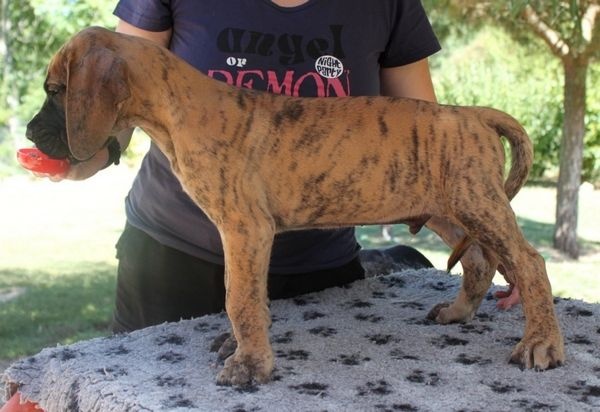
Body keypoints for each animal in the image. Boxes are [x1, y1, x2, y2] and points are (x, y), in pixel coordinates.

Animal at [26, 27, 565, 386]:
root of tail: (475, 114)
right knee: (479, 260)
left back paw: (541, 343)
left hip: (478, 203)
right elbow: (248, 296)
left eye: (56, 90)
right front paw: (244, 346)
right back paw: (457, 313)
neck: (179, 109)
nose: (30, 134)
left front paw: (249, 365)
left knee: (529, 263)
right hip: (447, 208)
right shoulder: (244, 236)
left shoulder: (245, 228)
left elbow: (239, 298)